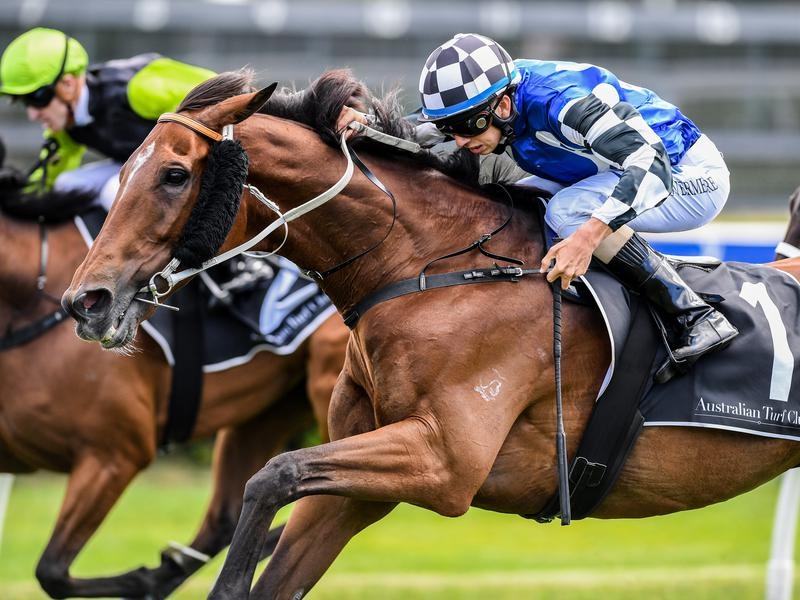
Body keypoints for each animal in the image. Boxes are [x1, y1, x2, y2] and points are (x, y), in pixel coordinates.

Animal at [0, 185, 348, 598]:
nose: (85, 309)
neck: (28, 301)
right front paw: (155, 576)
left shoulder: (114, 455)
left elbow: (51, 570)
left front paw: (143, 580)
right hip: (267, 412)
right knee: (225, 519)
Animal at [61, 68, 800, 599]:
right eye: (123, 170)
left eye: (174, 174)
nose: (85, 301)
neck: (430, 269)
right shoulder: (363, 482)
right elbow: (284, 510)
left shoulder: (445, 462)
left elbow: (274, 474)